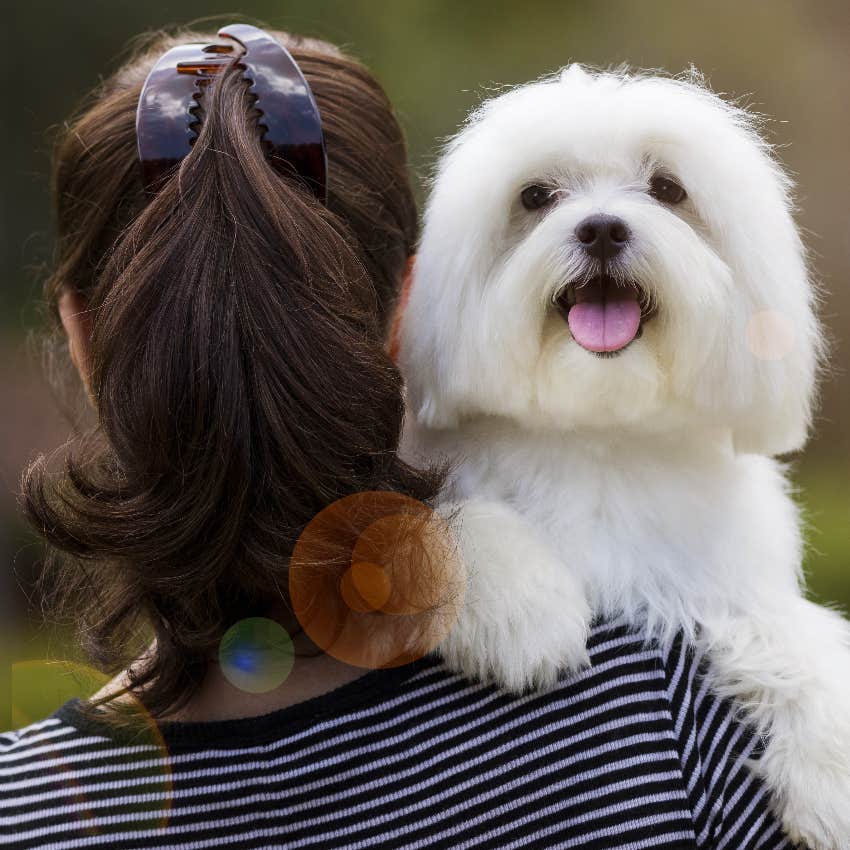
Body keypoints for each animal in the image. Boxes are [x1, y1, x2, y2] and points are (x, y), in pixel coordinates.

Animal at [396, 68, 848, 848]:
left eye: (668, 188)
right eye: (535, 196)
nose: (602, 228)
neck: (599, 431)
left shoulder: (714, 579)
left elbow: (792, 631)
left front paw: (831, 773)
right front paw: (522, 609)